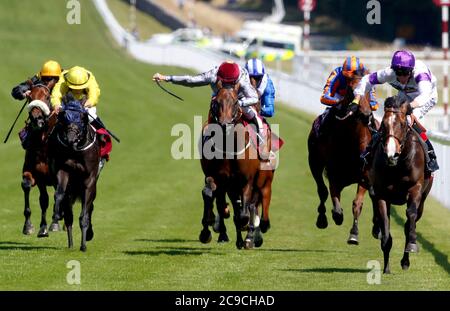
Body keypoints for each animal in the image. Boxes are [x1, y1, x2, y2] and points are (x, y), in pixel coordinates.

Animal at [21, 80, 60, 236]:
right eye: (29, 97)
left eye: (47, 97)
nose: (36, 119)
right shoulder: (37, 175)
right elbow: (40, 197)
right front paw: (30, 226)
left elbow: (56, 196)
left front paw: (54, 224)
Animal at [50, 96, 101, 252]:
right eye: (64, 117)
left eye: (82, 117)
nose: (70, 139)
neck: (75, 151)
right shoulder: (63, 170)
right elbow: (60, 194)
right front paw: (56, 214)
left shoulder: (89, 179)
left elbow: (85, 214)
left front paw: (84, 244)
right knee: (69, 215)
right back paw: (71, 243)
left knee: (90, 207)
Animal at [308, 81, 378, 246]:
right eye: (352, 92)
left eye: (369, 91)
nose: (366, 115)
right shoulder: (334, 175)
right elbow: (334, 201)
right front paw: (336, 216)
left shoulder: (364, 177)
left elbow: (357, 203)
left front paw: (354, 234)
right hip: (314, 163)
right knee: (321, 190)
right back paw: (322, 218)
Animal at [368, 96, 434, 274]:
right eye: (383, 124)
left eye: (403, 124)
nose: (391, 154)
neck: (398, 165)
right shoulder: (382, 194)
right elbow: (385, 226)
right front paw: (386, 267)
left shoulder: (415, 189)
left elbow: (410, 216)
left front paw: (412, 244)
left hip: (423, 200)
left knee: (410, 221)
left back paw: (405, 260)